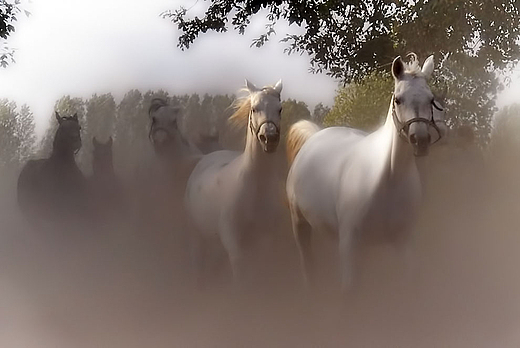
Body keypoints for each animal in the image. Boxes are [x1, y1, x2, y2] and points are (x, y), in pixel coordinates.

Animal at [186, 79, 284, 286]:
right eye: (254, 108)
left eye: (279, 109)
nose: (269, 138)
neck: (256, 189)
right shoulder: (234, 245)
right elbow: (241, 279)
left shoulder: (267, 243)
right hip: (195, 235)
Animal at [284, 54, 446, 290]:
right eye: (398, 99)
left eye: (430, 99)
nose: (420, 140)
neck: (388, 179)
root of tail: (313, 136)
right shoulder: (349, 244)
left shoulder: (403, 242)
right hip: (300, 224)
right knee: (308, 264)